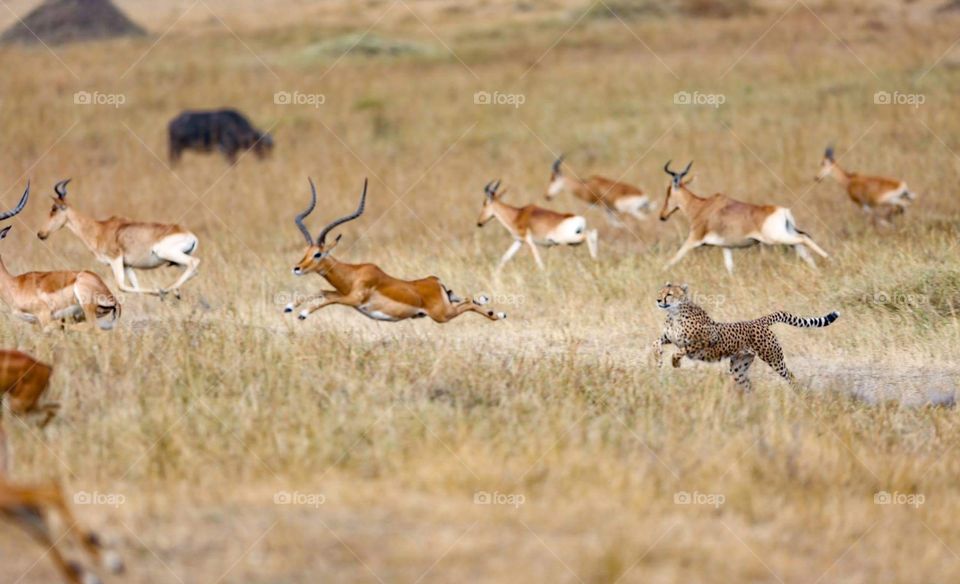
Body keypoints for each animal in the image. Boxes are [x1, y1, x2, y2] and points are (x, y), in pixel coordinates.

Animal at [652, 283, 839, 391]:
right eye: (660, 292)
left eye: (669, 294)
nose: (658, 300)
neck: (674, 312)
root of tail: (757, 321)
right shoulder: (668, 338)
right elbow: (656, 342)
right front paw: (658, 360)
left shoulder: (709, 339)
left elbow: (682, 349)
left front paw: (675, 362)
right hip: (738, 368)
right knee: (748, 385)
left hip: (774, 359)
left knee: (790, 376)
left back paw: (799, 395)